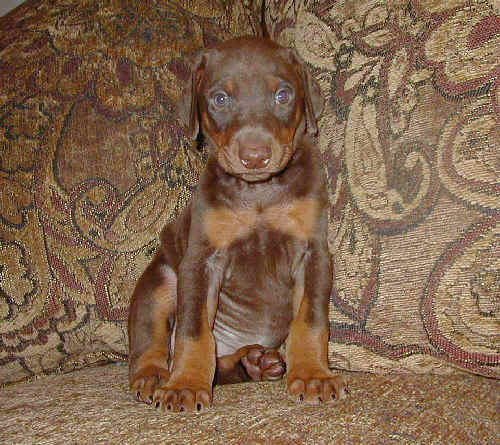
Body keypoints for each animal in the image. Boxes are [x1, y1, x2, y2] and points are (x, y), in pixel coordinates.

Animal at [128, 35, 348, 412]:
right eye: (220, 98)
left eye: (283, 94)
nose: (255, 155)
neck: (258, 192)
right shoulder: (201, 261)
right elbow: (192, 332)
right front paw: (185, 385)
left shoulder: (314, 254)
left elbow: (310, 321)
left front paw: (313, 375)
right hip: (159, 283)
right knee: (153, 342)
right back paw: (155, 376)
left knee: (221, 365)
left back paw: (253, 363)